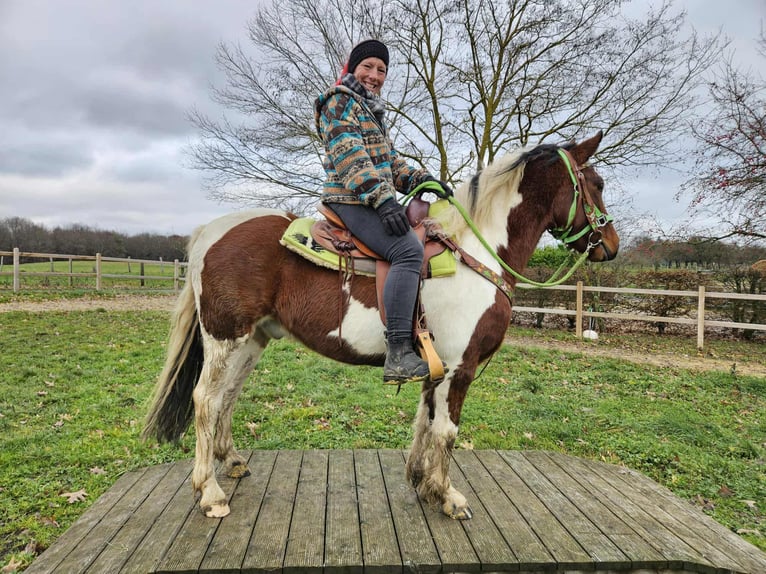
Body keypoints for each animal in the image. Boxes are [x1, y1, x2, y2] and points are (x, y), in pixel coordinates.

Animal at [143, 131, 620, 520]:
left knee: (227, 397)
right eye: (597, 184)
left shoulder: (436, 366)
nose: (611, 246)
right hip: (226, 337)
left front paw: (423, 483)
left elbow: (425, 423)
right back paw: (210, 493)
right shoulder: (459, 366)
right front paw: (448, 496)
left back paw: (232, 461)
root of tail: (210, 231)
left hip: (250, 340)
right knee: (206, 400)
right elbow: (446, 431)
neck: (475, 251)